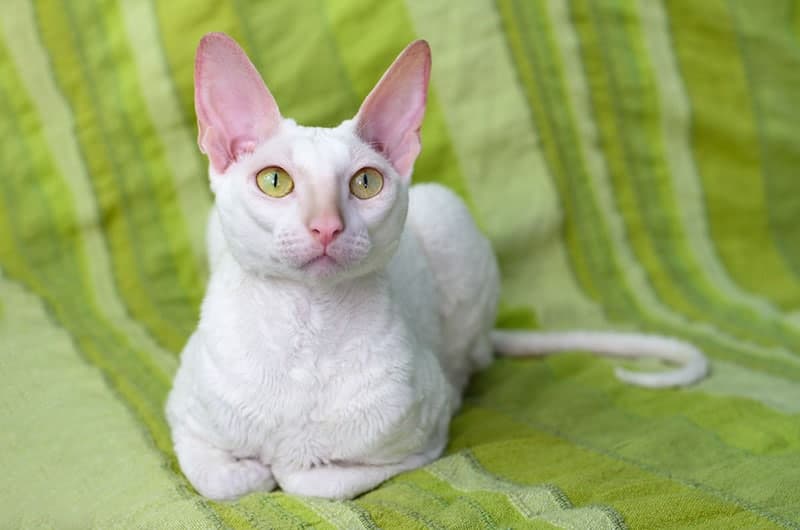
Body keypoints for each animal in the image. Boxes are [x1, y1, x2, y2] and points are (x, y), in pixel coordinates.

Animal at [164, 33, 708, 500]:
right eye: (274, 181)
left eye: (365, 183)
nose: (326, 227)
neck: (307, 328)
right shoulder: (182, 418)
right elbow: (222, 479)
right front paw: (254, 467)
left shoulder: (425, 436)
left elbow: (311, 480)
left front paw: (284, 465)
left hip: (452, 219)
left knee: (472, 359)